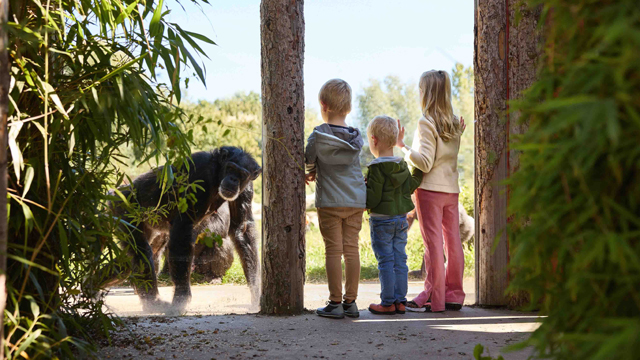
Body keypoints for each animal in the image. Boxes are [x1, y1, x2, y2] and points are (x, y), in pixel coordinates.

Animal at [109, 146, 262, 312]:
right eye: (231, 168)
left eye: (242, 174)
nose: (233, 179)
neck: (217, 174)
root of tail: (115, 192)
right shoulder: (200, 174)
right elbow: (183, 229)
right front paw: (181, 298)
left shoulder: (247, 188)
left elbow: (242, 227)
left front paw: (256, 294)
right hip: (124, 210)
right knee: (143, 251)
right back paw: (153, 302)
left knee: (127, 260)